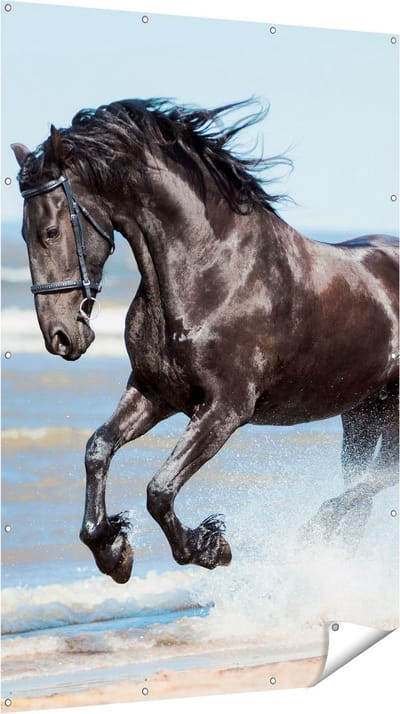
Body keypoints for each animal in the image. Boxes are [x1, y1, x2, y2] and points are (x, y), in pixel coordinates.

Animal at [12, 98, 399, 584]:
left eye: (51, 231)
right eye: (23, 234)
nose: (60, 337)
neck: (211, 271)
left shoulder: (225, 409)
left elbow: (159, 489)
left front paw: (210, 546)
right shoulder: (155, 392)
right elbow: (97, 448)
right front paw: (112, 551)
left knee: (380, 477)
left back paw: (312, 534)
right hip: (362, 413)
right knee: (363, 483)